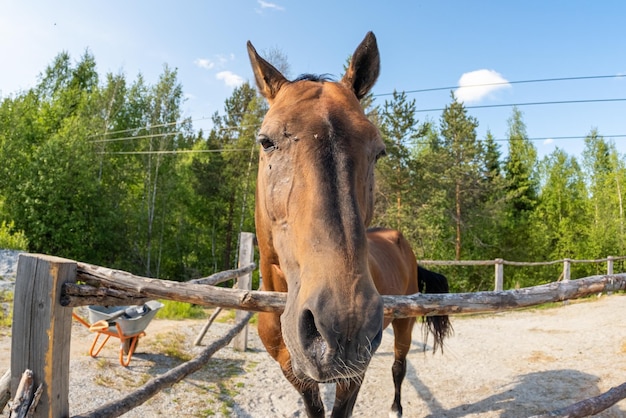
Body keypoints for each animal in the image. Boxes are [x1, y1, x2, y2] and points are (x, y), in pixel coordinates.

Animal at [245, 32, 448, 418]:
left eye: (379, 151)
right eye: (266, 141)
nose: (346, 327)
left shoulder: (354, 375)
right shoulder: (296, 374)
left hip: (404, 323)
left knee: (399, 365)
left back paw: (396, 408)